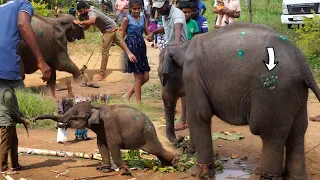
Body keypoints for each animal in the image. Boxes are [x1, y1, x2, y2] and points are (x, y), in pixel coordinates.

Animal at [35, 102, 175, 175]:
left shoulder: (109, 125)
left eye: (74, 116)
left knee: (156, 150)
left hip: (148, 134)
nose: (34, 120)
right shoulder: (101, 130)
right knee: (157, 151)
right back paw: (166, 165)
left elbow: (113, 146)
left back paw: (175, 162)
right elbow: (101, 146)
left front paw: (125, 171)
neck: (95, 106)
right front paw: (104, 170)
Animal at [158, 22, 320, 180]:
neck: (181, 47)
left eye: (162, 76)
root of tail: (302, 63)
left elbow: (199, 116)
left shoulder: (193, 75)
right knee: (297, 132)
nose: (180, 140)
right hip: (297, 93)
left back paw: (260, 176)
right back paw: (295, 177)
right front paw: (191, 154)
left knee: (270, 134)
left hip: (274, 92)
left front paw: (197, 173)